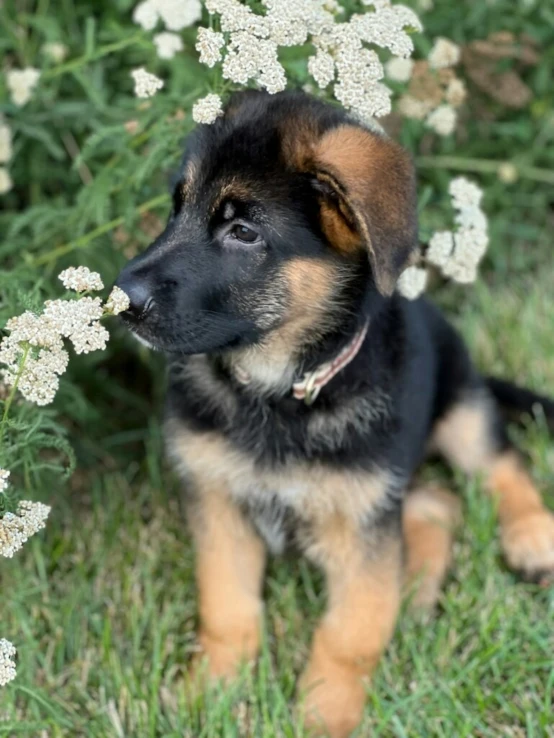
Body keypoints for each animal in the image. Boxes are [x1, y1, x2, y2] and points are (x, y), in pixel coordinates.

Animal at [116, 90, 552, 736]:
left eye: (243, 231)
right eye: (177, 208)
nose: (120, 299)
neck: (281, 393)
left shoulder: (362, 517)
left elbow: (351, 631)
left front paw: (323, 712)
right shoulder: (220, 500)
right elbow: (227, 607)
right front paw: (211, 689)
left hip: (458, 400)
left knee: (497, 463)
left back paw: (531, 537)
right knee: (437, 504)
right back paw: (417, 588)